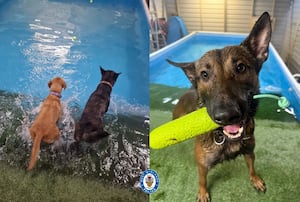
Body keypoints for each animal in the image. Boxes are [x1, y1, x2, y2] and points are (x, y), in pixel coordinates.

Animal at [169, 11, 272, 201]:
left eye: (240, 67)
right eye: (204, 74)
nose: (226, 116)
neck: (225, 137)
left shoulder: (249, 152)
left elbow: (252, 168)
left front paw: (255, 179)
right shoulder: (202, 165)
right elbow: (202, 180)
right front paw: (203, 192)